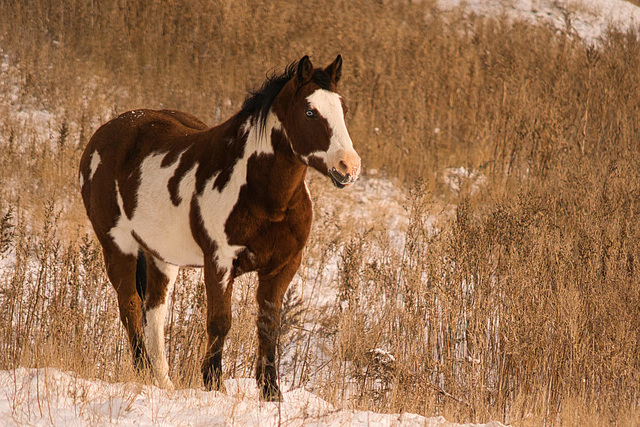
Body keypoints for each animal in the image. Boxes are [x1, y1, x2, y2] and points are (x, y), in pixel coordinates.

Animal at [76, 56, 360, 402]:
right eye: (310, 111)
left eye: (342, 108)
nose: (348, 166)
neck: (266, 198)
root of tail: (104, 133)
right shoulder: (219, 262)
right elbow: (220, 322)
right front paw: (214, 384)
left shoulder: (283, 266)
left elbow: (269, 327)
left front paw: (271, 394)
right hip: (117, 244)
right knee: (129, 304)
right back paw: (142, 371)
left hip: (161, 256)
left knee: (154, 311)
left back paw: (162, 382)